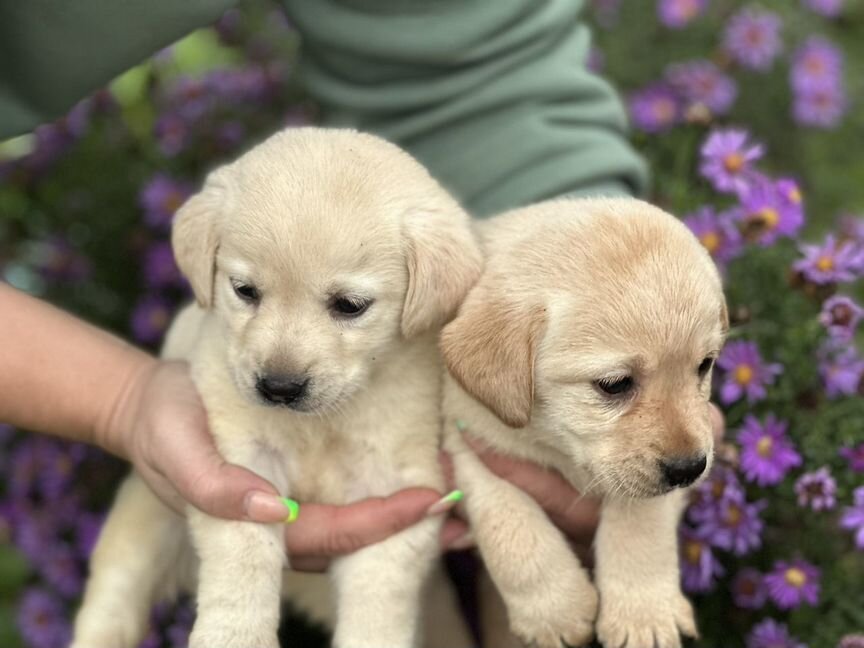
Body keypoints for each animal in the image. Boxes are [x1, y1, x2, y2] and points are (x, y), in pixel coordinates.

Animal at [71, 128, 482, 648]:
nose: (279, 388)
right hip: (143, 523)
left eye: (350, 305)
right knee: (111, 598)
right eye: (245, 291)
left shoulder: (397, 497)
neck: (321, 425)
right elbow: (243, 555)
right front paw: (233, 636)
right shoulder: (244, 468)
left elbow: (378, 602)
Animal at [442, 196, 724, 648]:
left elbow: (641, 519)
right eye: (614, 384)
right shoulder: (470, 445)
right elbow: (511, 527)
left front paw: (643, 614)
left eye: (705, 365)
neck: (555, 447)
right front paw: (555, 611)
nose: (689, 469)